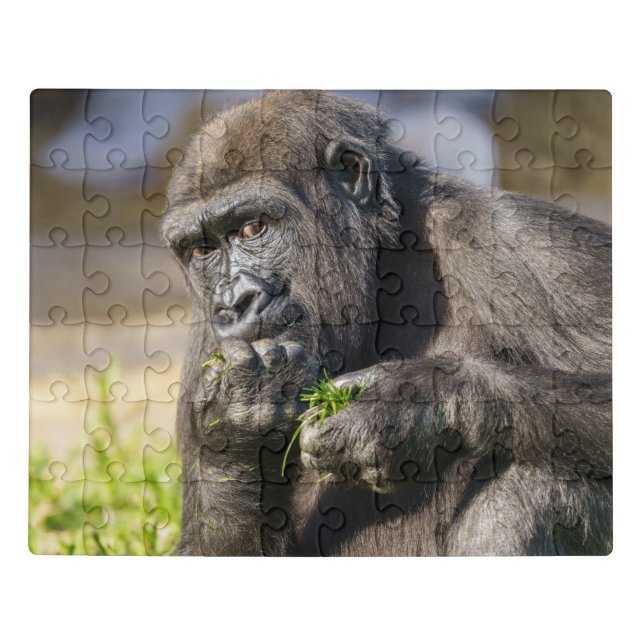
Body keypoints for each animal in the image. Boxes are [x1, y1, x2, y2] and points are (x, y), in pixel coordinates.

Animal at [162, 90, 611, 556]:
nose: (233, 303)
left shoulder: (523, 240)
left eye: (253, 228)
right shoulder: (203, 346)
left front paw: (406, 403)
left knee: (539, 483)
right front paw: (237, 426)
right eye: (202, 251)